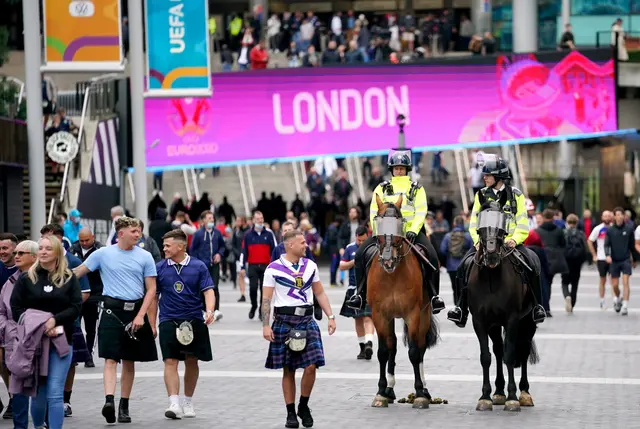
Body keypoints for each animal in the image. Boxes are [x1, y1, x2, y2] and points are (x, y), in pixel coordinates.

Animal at [368, 193, 438, 408]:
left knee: (421, 347)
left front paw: (420, 392)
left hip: (424, 314)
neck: (392, 275)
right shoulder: (379, 315)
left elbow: (415, 352)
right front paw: (381, 391)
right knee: (392, 345)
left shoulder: (413, 314)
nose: (388, 261)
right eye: (379, 222)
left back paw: (425, 389)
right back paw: (389, 389)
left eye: (400, 224)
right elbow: (383, 351)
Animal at [464, 207, 540, 412]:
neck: (491, 278)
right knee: (498, 350)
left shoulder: (512, 320)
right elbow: (486, 356)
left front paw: (512, 398)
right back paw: (498, 392)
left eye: (502, 229)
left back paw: (524, 393)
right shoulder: (480, 321)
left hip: (528, 322)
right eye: (480, 229)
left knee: (522, 351)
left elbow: (511, 355)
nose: (491, 256)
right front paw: (485, 397)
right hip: (495, 325)